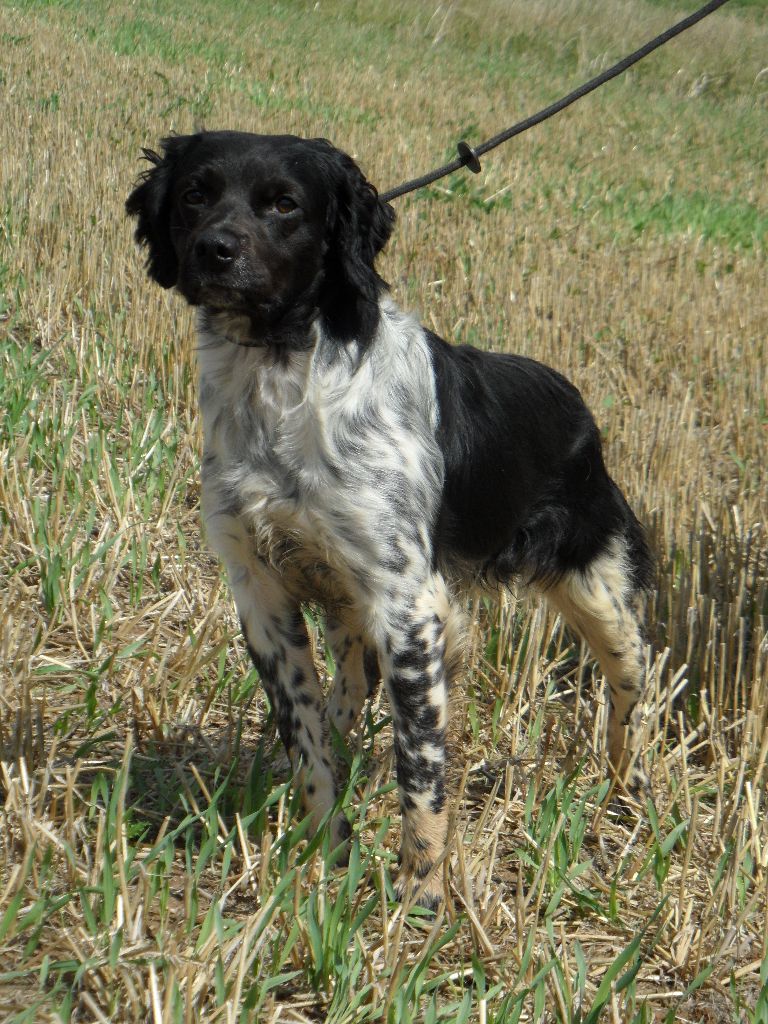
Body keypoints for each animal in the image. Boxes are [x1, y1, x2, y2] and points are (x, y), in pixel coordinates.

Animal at [128, 132, 655, 909]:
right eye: (196, 193)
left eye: (284, 203)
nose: (215, 250)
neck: (282, 378)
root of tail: (579, 406)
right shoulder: (262, 594)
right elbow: (308, 742)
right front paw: (327, 847)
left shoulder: (410, 605)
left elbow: (422, 764)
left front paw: (422, 885)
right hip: (351, 610)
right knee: (348, 694)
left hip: (598, 591)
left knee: (630, 689)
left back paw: (627, 789)